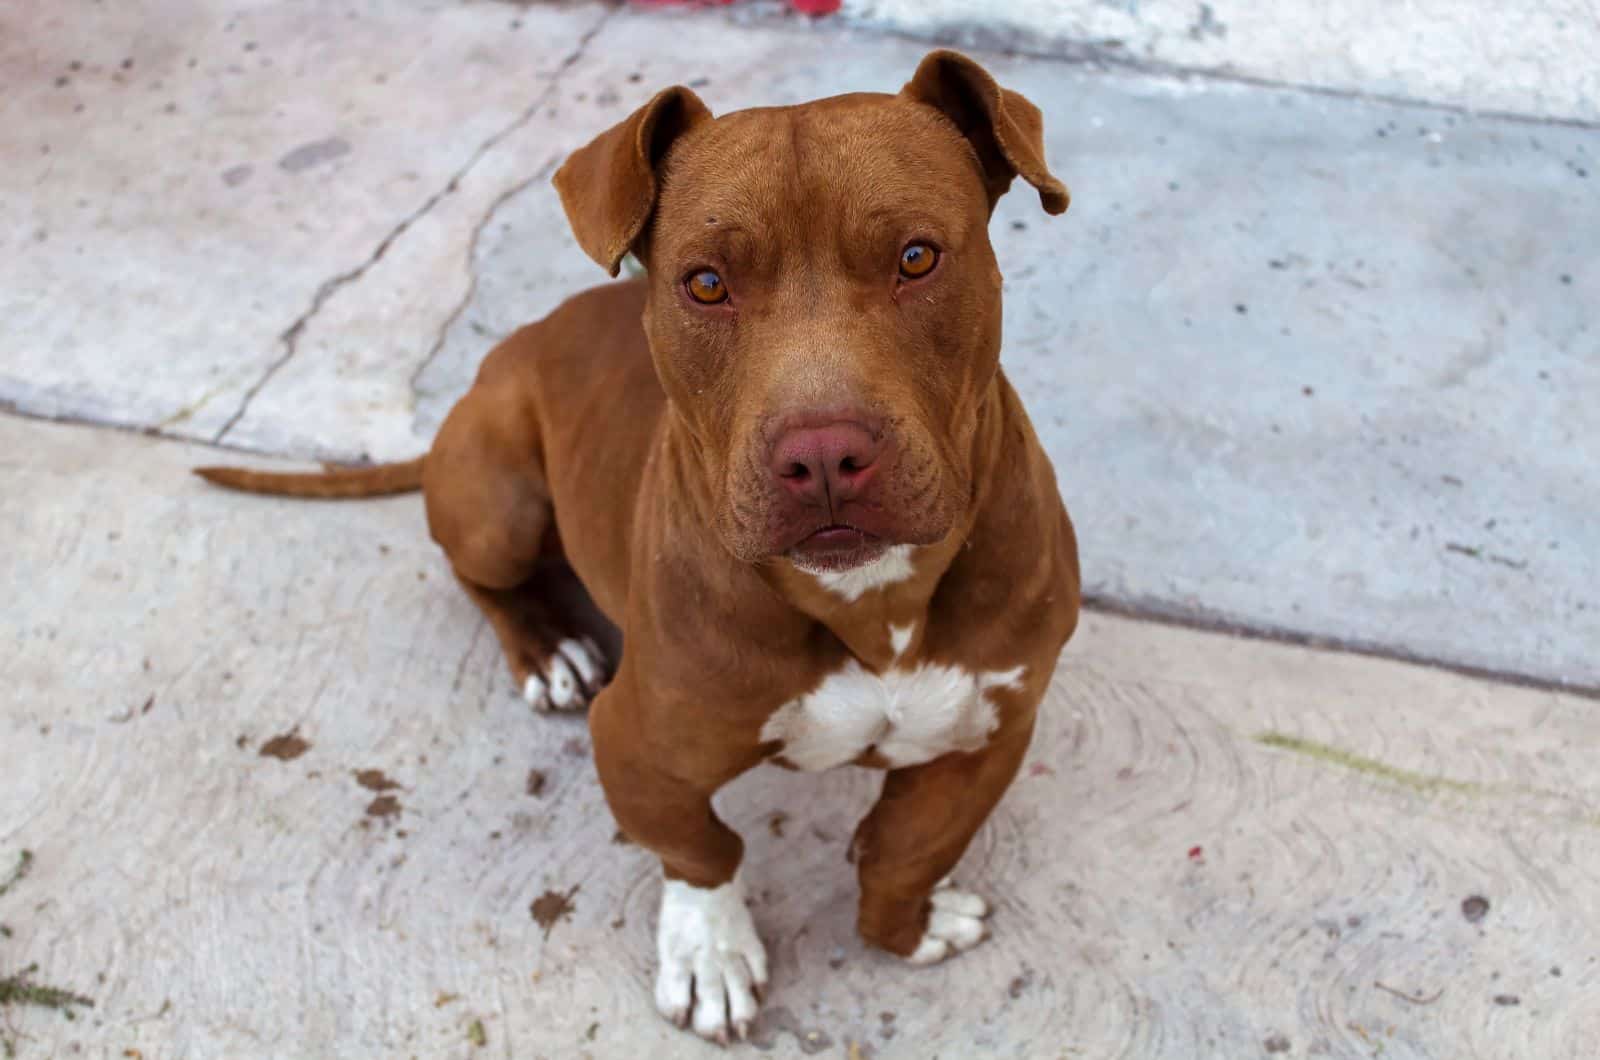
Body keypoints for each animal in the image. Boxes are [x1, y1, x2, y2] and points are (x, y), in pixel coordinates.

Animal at [196, 52, 1075, 1043]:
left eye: (917, 257)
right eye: (706, 283)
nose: (821, 456)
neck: (871, 601)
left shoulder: (992, 731)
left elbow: (905, 850)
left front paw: (910, 922)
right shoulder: (636, 740)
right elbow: (698, 846)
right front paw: (710, 952)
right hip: (496, 497)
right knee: (481, 575)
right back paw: (549, 648)